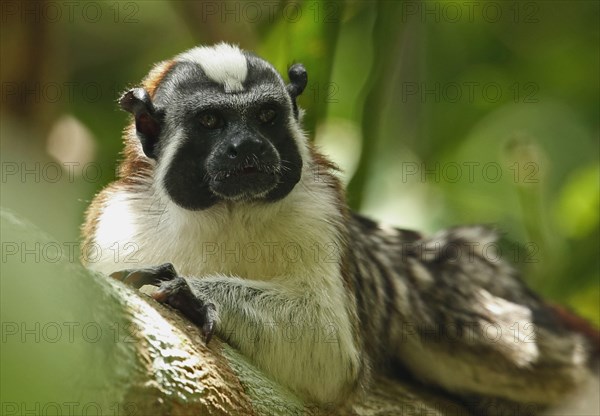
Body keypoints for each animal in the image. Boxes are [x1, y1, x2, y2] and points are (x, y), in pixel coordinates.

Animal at [81, 44, 600, 414]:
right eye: (211, 121)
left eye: (265, 117)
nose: (246, 146)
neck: (228, 213)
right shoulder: (116, 224)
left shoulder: (321, 213)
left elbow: (330, 351)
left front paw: (191, 291)